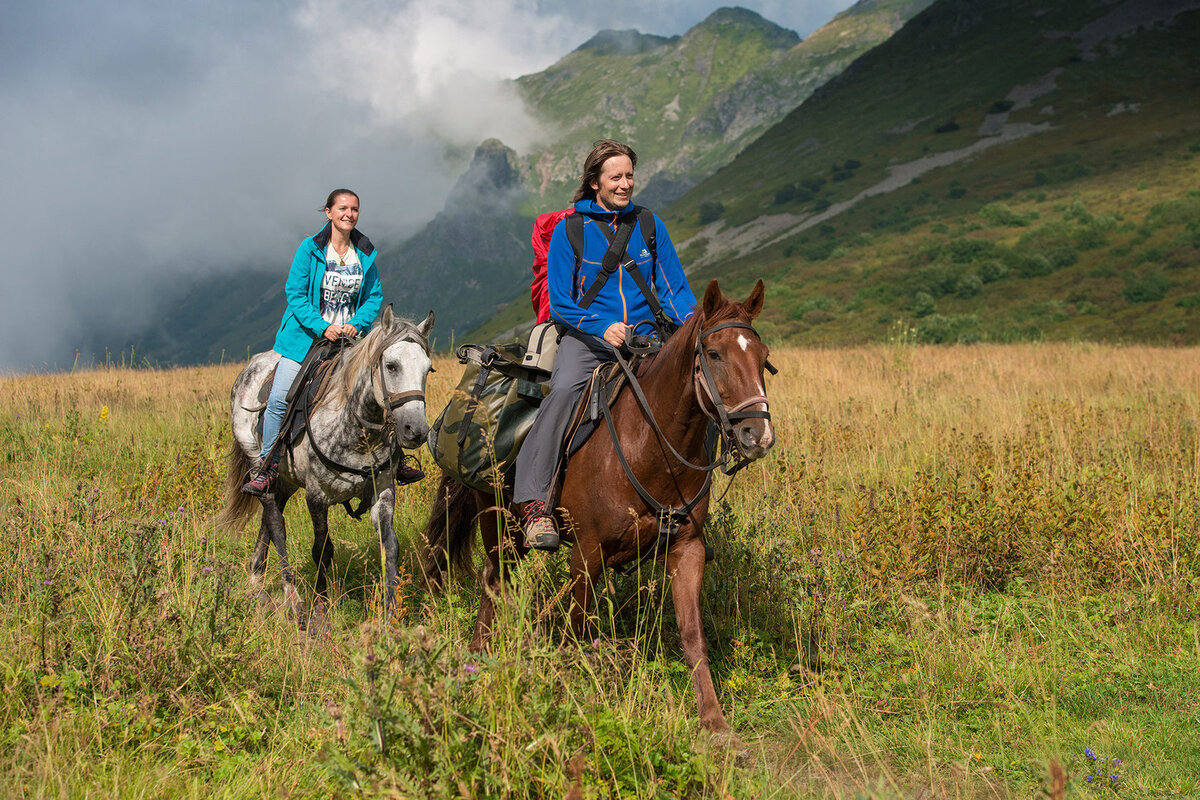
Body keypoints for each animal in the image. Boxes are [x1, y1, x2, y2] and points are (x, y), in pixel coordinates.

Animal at [218, 307, 434, 633]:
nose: (416, 430)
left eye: (428, 369)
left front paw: (391, 615)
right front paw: (319, 611)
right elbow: (321, 550)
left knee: (269, 518)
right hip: (258, 463)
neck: (356, 431)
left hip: (284, 480)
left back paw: (256, 578)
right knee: (275, 522)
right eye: (391, 366)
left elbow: (390, 546)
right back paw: (292, 596)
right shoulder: (316, 496)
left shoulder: (382, 493)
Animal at [427, 280, 772, 734]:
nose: (757, 435)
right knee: (494, 580)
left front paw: (714, 723)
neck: (652, 443)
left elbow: (692, 635)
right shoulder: (586, 553)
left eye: (763, 358)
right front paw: (573, 700)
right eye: (713, 354)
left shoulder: (688, 549)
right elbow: (576, 631)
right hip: (498, 520)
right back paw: (478, 655)